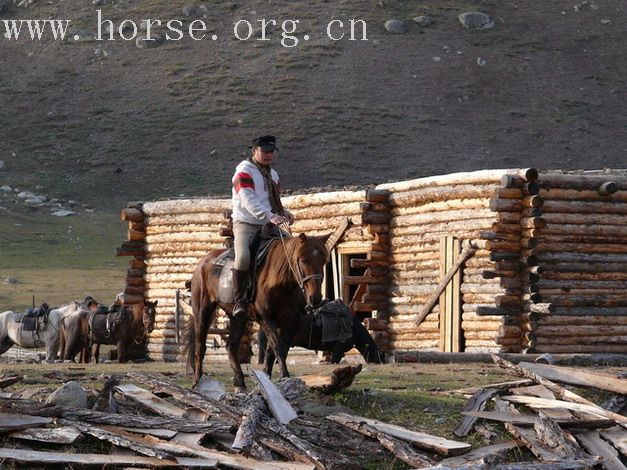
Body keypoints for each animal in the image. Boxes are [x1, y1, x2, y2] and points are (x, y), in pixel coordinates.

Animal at [186, 230, 332, 390]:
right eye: (304, 260)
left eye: (323, 261)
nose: (315, 298)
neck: (281, 281)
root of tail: (202, 264)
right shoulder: (265, 318)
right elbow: (278, 347)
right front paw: (285, 377)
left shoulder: (288, 321)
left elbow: (272, 351)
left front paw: (267, 380)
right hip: (202, 311)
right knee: (200, 346)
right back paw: (197, 382)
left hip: (238, 318)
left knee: (231, 346)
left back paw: (240, 382)